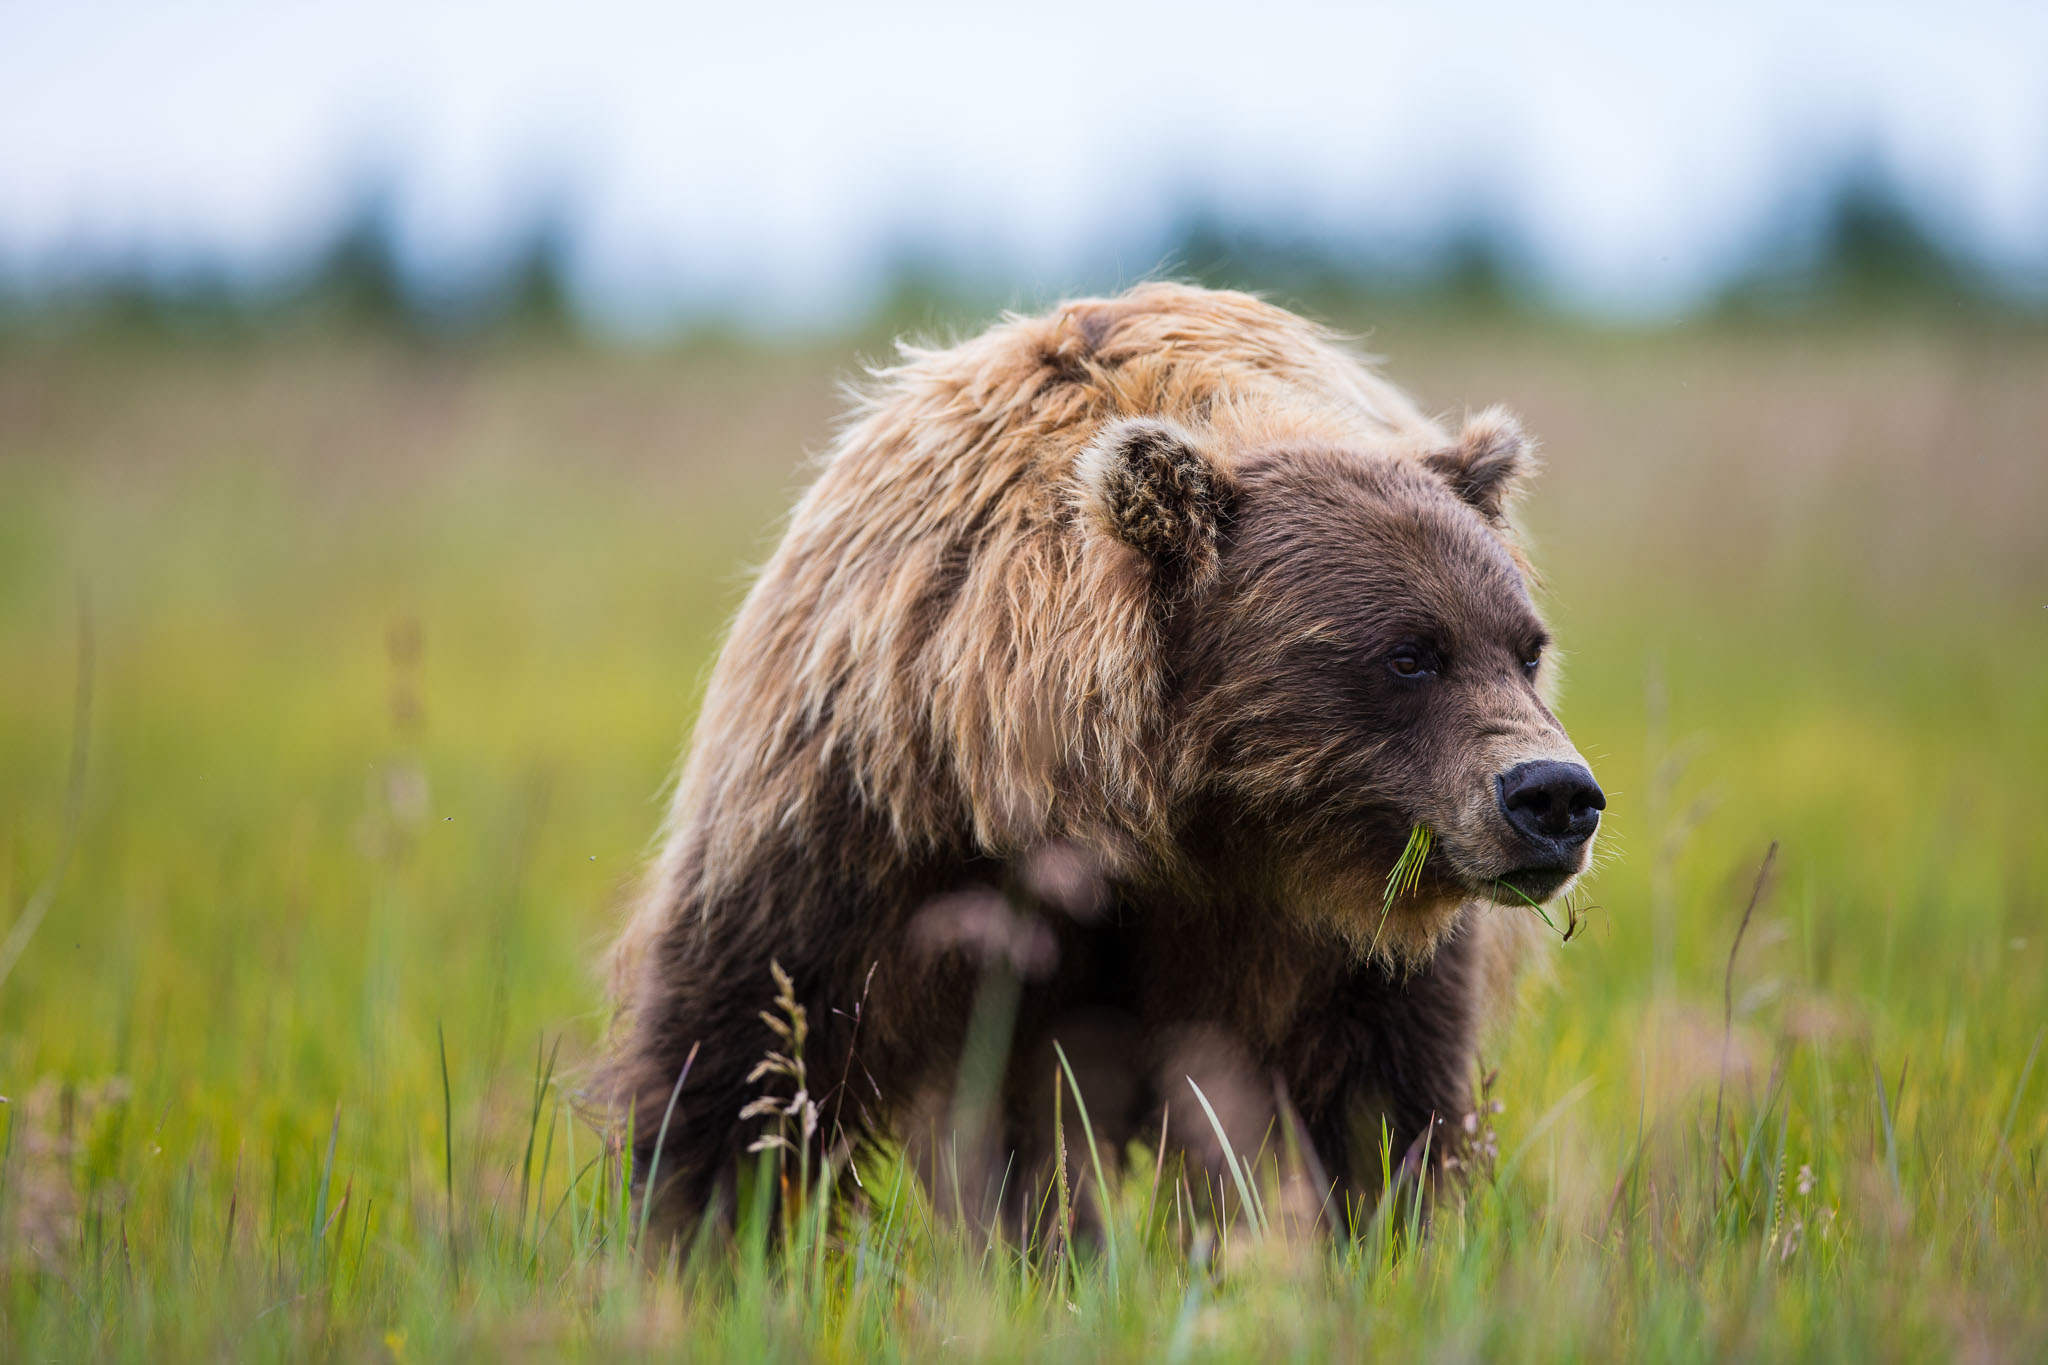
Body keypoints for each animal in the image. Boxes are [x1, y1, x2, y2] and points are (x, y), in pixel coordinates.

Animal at [598, 280, 1605, 1236]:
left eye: (1527, 649)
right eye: (1409, 654)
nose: (1552, 795)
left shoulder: (1341, 949)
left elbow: (1375, 1111)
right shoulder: (867, 816)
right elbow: (751, 1054)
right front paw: (708, 1233)